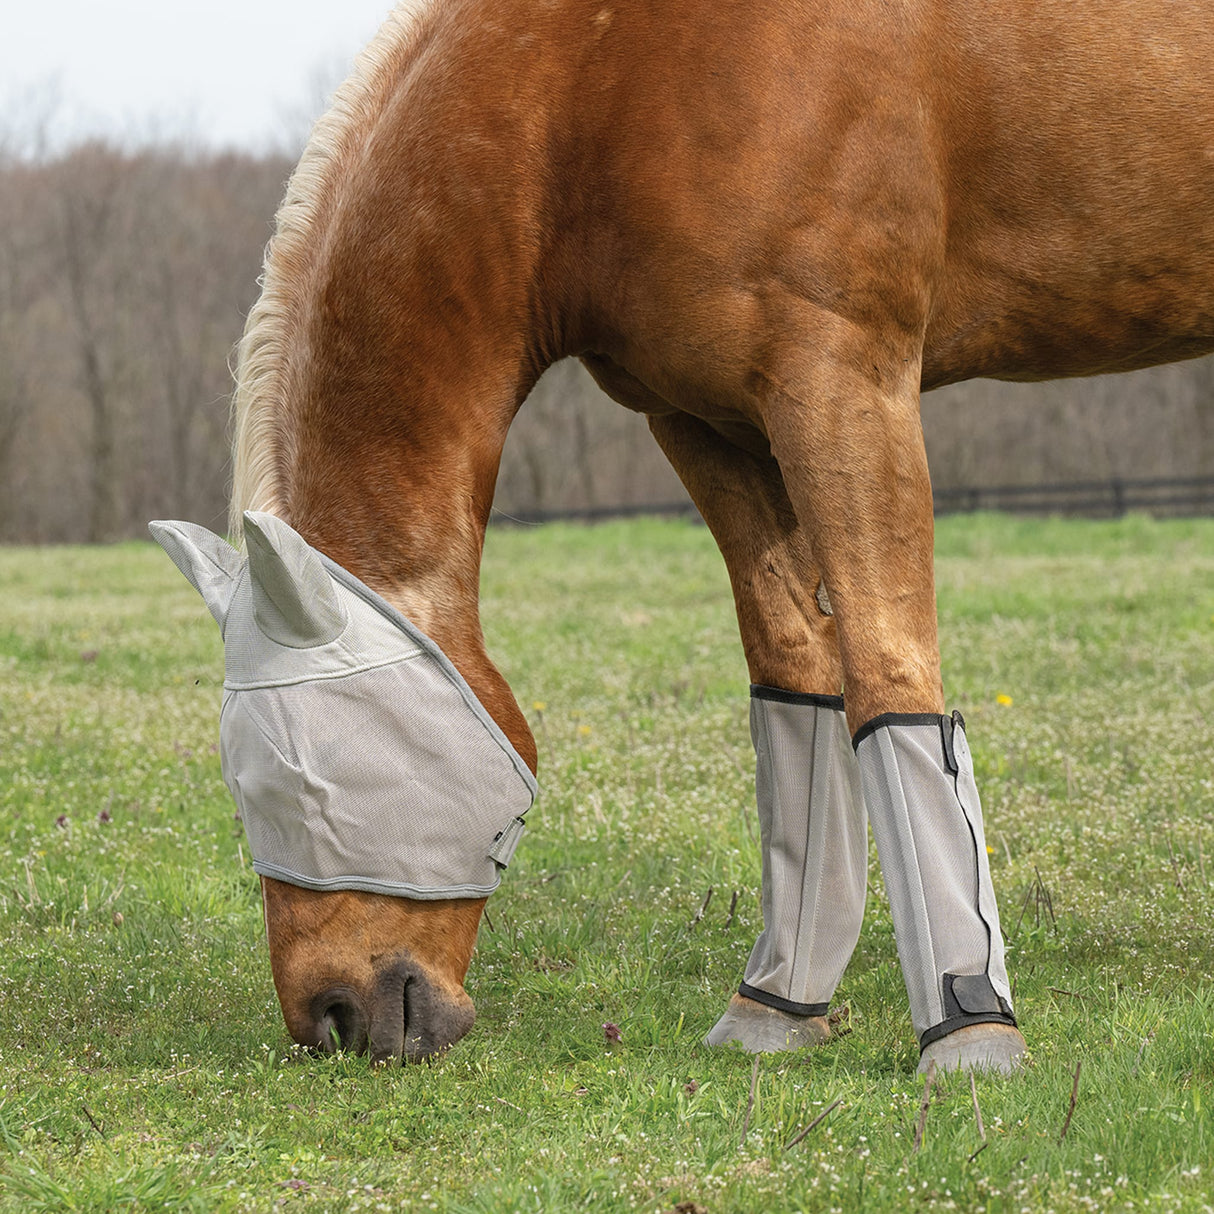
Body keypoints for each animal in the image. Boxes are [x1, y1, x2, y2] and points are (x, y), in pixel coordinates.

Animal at [184, 0, 1212, 1071]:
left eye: (306, 782)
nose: (333, 1019)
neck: (601, 86)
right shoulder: (703, 420)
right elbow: (796, 670)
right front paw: (775, 1007)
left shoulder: (844, 384)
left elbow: (889, 672)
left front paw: (971, 1029)